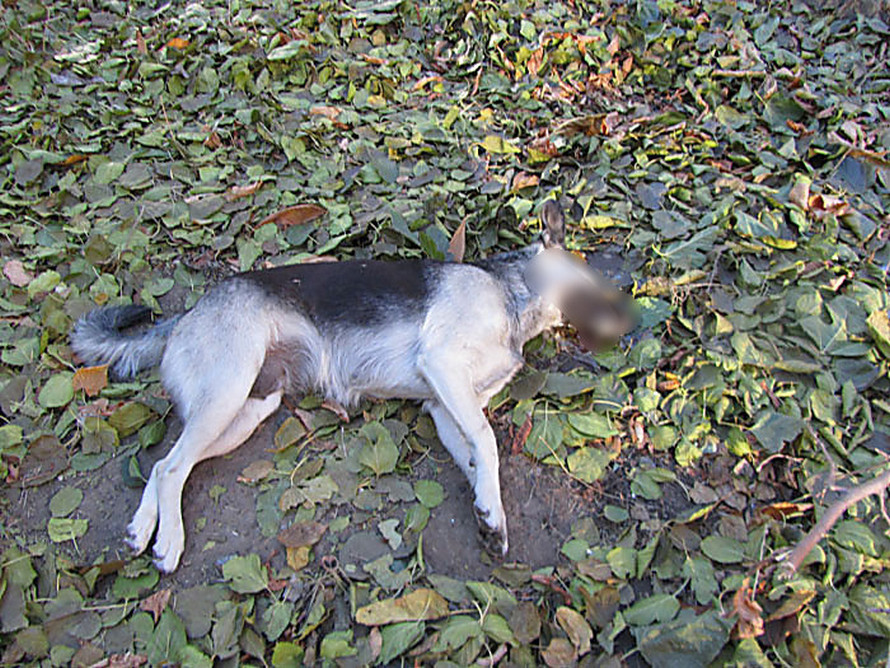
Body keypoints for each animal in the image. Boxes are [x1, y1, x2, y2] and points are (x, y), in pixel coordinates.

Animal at [73, 201, 636, 572]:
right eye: (591, 287)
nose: (629, 323)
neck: (511, 294)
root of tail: (185, 315)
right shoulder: (444, 367)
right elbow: (489, 443)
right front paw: (491, 507)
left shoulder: (443, 406)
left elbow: (477, 458)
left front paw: (488, 513)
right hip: (227, 392)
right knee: (171, 468)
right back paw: (168, 541)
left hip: (246, 410)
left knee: (167, 465)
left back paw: (142, 529)